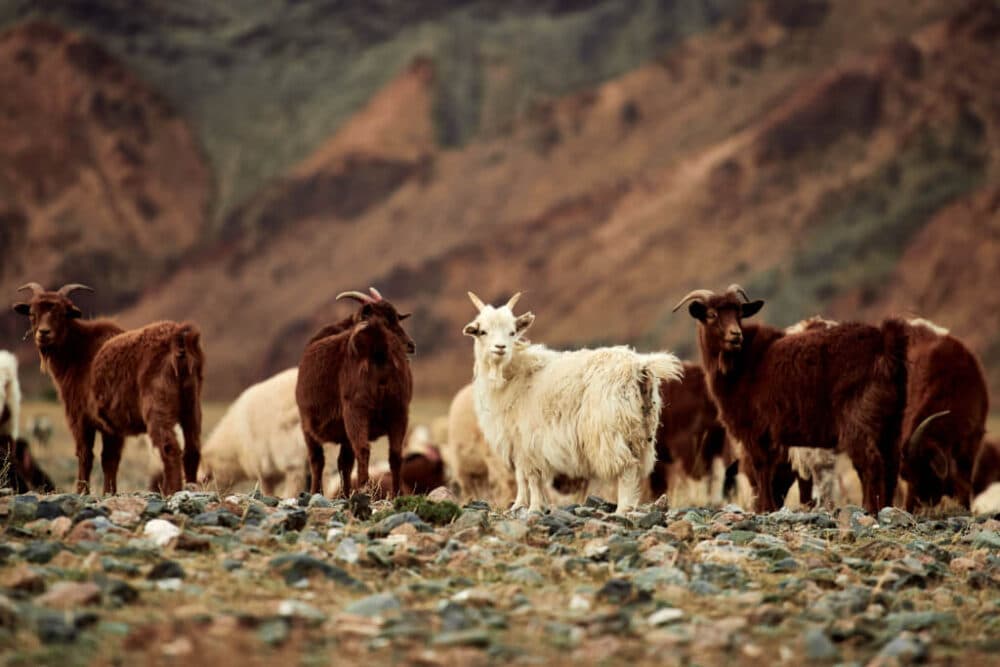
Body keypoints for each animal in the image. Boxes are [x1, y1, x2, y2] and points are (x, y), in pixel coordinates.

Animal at [13, 282, 203, 495]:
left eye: (62, 313)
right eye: (32, 313)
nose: (43, 333)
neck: (79, 352)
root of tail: (178, 339)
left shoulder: (79, 418)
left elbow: (85, 455)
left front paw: (82, 491)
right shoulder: (112, 427)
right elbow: (110, 459)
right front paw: (108, 492)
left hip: (158, 406)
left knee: (170, 447)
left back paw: (173, 491)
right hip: (192, 406)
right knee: (193, 449)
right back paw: (191, 488)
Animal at [296, 288, 414, 498]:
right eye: (388, 322)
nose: (410, 345)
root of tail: (378, 346)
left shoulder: (307, 425)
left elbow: (319, 461)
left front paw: (318, 492)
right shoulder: (345, 433)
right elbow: (344, 462)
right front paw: (343, 494)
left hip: (356, 410)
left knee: (362, 449)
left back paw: (363, 489)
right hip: (399, 409)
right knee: (395, 453)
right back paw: (396, 494)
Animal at [464, 291, 683, 513]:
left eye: (512, 332)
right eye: (482, 331)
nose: (500, 348)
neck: (515, 374)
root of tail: (639, 366)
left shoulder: (528, 440)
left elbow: (532, 476)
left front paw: (533, 507)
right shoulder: (517, 440)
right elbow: (521, 476)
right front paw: (519, 504)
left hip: (609, 430)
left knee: (627, 467)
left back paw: (623, 509)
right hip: (640, 431)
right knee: (636, 466)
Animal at [674, 285, 908, 514]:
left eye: (739, 313)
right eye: (712, 314)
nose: (735, 335)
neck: (744, 364)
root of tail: (885, 345)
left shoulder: (755, 431)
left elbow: (761, 466)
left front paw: (764, 508)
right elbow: (768, 469)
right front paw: (768, 506)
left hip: (858, 420)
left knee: (870, 462)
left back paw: (870, 509)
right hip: (891, 422)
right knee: (891, 462)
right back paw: (886, 507)